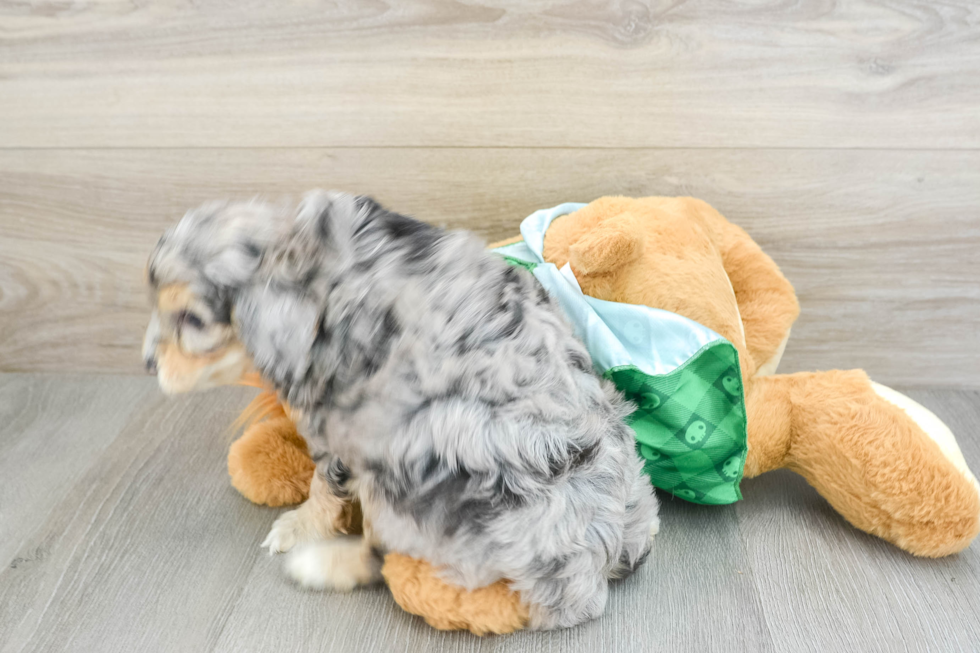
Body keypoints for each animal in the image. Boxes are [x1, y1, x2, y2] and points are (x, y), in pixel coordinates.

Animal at [144, 190, 660, 628]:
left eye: (192, 320)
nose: (147, 363)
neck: (308, 259)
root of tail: (609, 554)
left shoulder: (341, 421)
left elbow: (322, 487)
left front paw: (299, 525)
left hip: (410, 468)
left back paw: (330, 567)